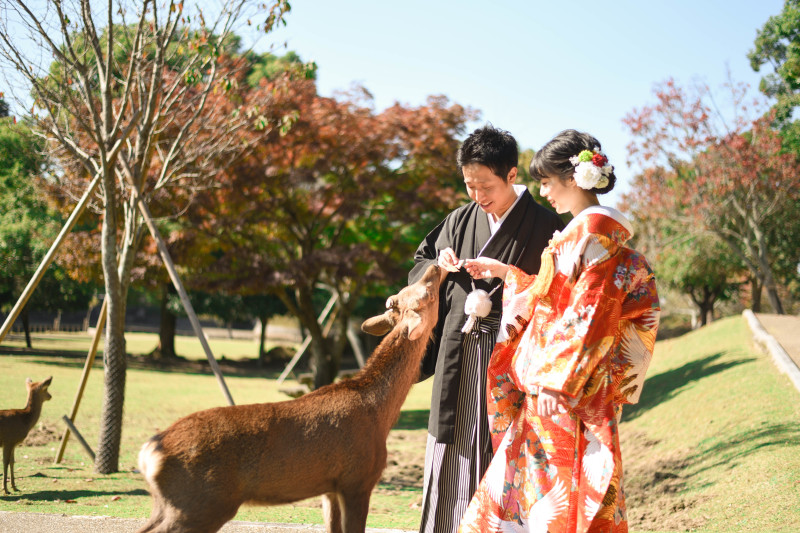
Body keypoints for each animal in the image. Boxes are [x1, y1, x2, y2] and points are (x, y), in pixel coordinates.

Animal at [139, 264, 450, 532]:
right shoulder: (358, 479)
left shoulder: (329, 487)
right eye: (428, 294)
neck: (379, 414)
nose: (435, 266)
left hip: (171, 504)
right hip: (202, 502)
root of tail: (150, 451)